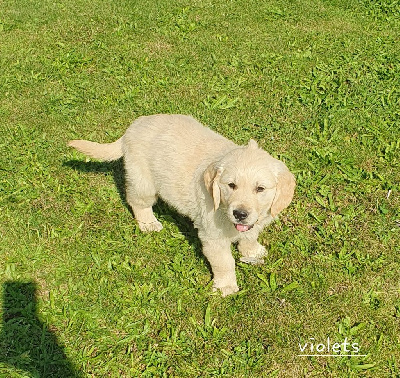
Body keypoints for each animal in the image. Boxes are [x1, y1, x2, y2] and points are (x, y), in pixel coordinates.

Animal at [68, 113, 294, 296]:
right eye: (231, 185)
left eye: (260, 189)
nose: (239, 213)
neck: (222, 208)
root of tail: (133, 126)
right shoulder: (213, 236)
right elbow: (224, 262)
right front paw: (226, 287)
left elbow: (249, 236)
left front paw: (253, 251)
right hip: (143, 181)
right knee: (137, 202)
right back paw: (148, 223)